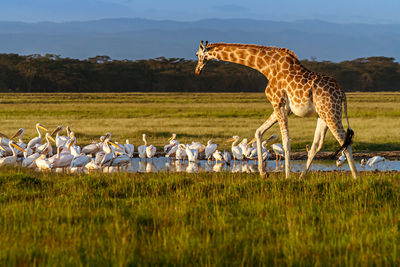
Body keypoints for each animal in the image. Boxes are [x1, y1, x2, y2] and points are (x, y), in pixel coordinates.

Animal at [195, 41, 358, 180]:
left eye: (197, 54)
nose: (197, 70)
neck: (266, 67)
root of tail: (342, 93)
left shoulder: (278, 104)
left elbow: (286, 142)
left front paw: (287, 176)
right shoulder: (282, 108)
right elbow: (258, 132)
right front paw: (263, 173)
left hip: (331, 113)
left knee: (345, 142)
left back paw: (356, 177)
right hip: (322, 115)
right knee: (317, 145)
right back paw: (302, 176)